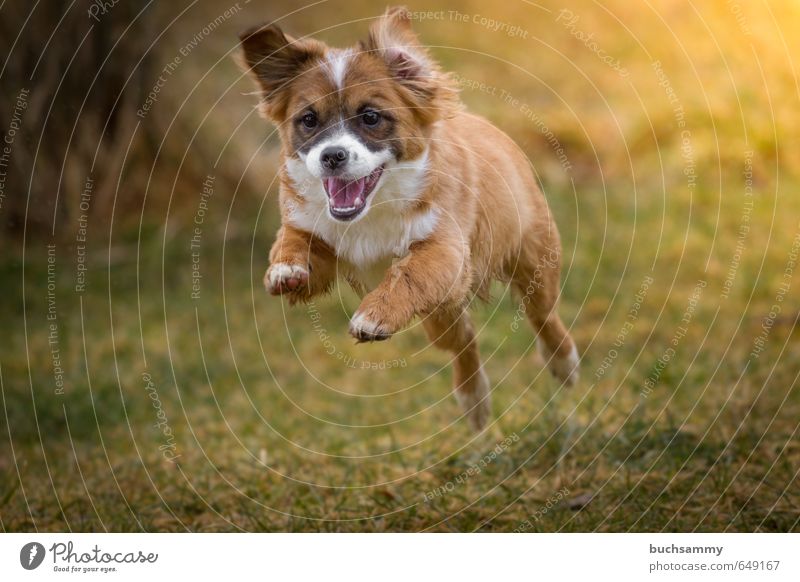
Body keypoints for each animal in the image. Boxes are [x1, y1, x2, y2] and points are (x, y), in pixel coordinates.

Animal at [234, 5, 580, 434]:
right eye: (308, 120)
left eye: (370, 116)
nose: (332, 155)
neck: (373, 209)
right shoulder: (321, 238)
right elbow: (294, 240)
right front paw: (285, 269)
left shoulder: (444, 250)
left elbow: (407, 275)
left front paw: (372, 316)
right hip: (442, 312)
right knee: (465, 340)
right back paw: (474, 402)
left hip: (533, 263)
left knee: (542, 315)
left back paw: (564, 365)